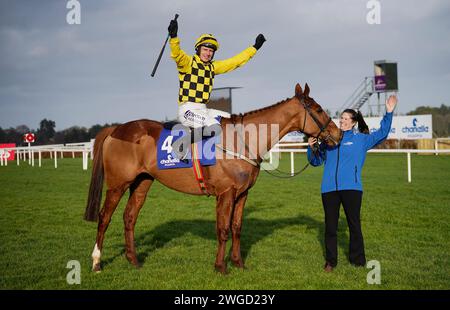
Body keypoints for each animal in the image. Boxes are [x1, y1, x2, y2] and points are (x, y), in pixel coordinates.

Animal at [85, 83, 342, 274]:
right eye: (318, 110)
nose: (338, 134)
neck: (243, 140)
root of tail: (116, 129)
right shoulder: (225, 194)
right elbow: (223, 229)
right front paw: (221, 266)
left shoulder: (242, 193)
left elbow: (237, 228)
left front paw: (238, 263)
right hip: (118, 184)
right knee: (104, 217)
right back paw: (97, 262)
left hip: (142, 183)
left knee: (129, 217)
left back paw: (133, 260)